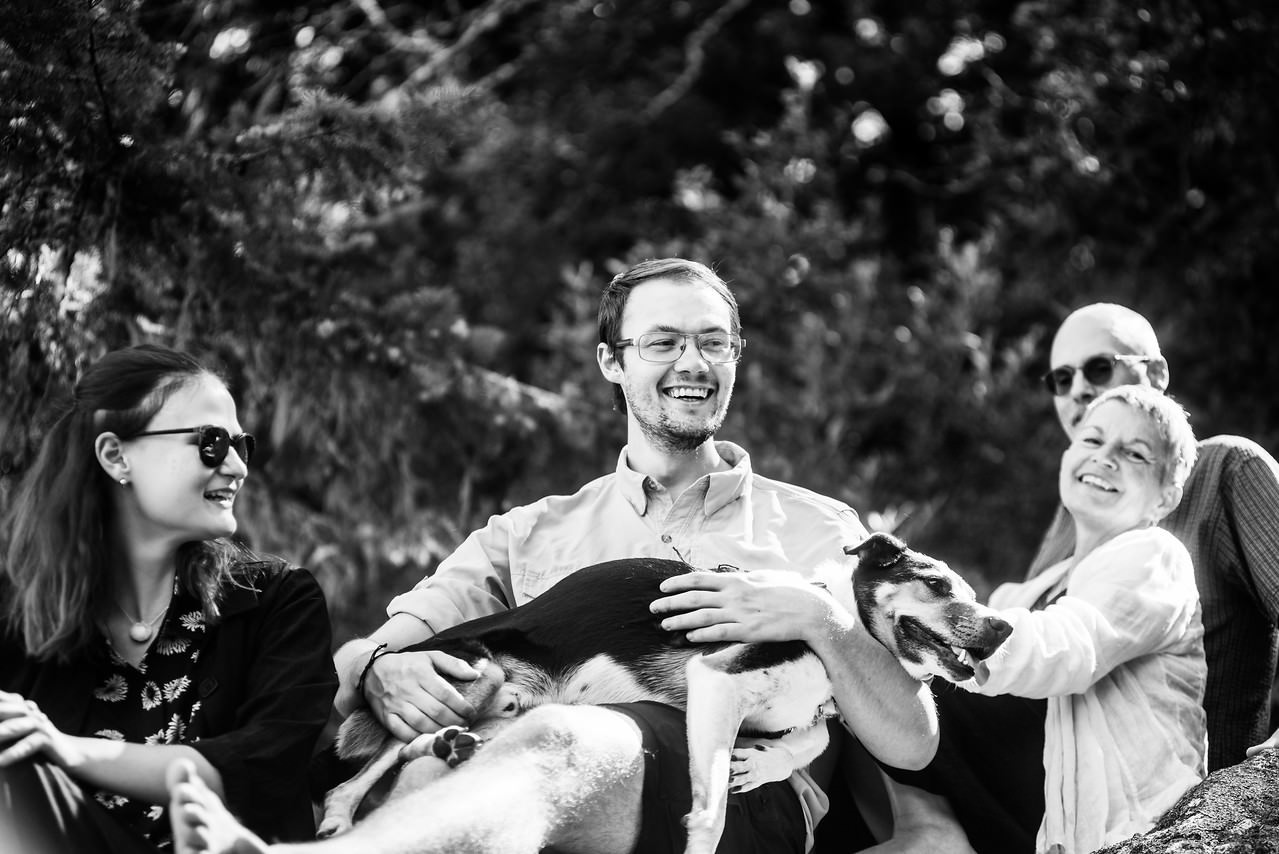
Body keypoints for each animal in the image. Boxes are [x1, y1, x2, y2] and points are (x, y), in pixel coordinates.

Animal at [317, 534, 1007, 854]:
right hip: (472, 673)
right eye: (938, 585)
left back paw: (449, 746)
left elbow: (810, 735)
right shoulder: (717, 679)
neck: (836, 628)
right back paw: (339, 815)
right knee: (370, 765)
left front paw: (765, 762)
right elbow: (713, 810)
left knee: (422, 750)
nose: (1003, 629)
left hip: (512, 709)